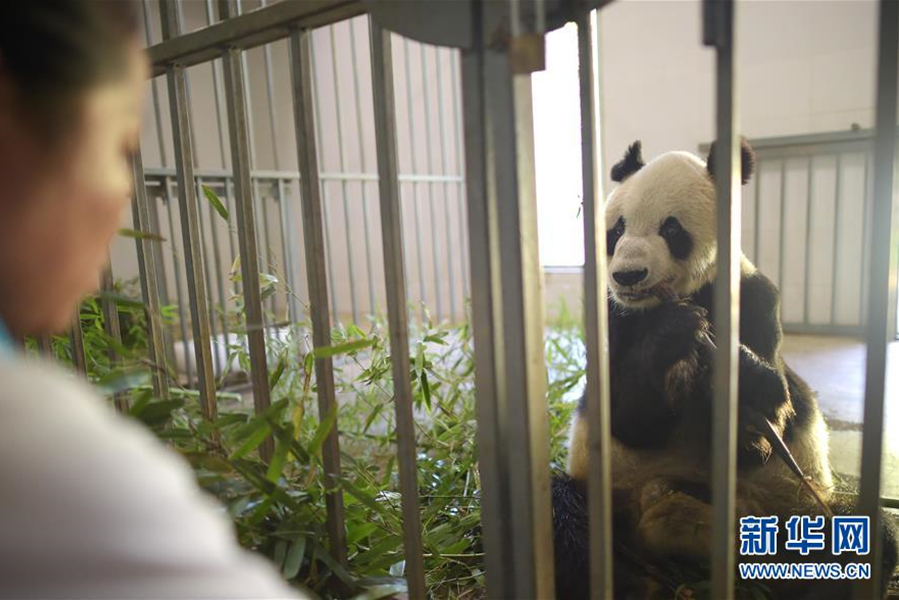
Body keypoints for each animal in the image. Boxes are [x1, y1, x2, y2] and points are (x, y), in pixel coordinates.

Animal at [552, 142, 896, 600]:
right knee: (564, 519)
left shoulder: (754, 298)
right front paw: (675, 332)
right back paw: (635, 583)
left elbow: (763, 429)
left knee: (858, 530)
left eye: (671, 230)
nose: (628, 275)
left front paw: (743, 385)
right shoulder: (612, 314)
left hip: (787, 504)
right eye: (616, 230)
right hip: (609, 498)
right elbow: (625, 415)